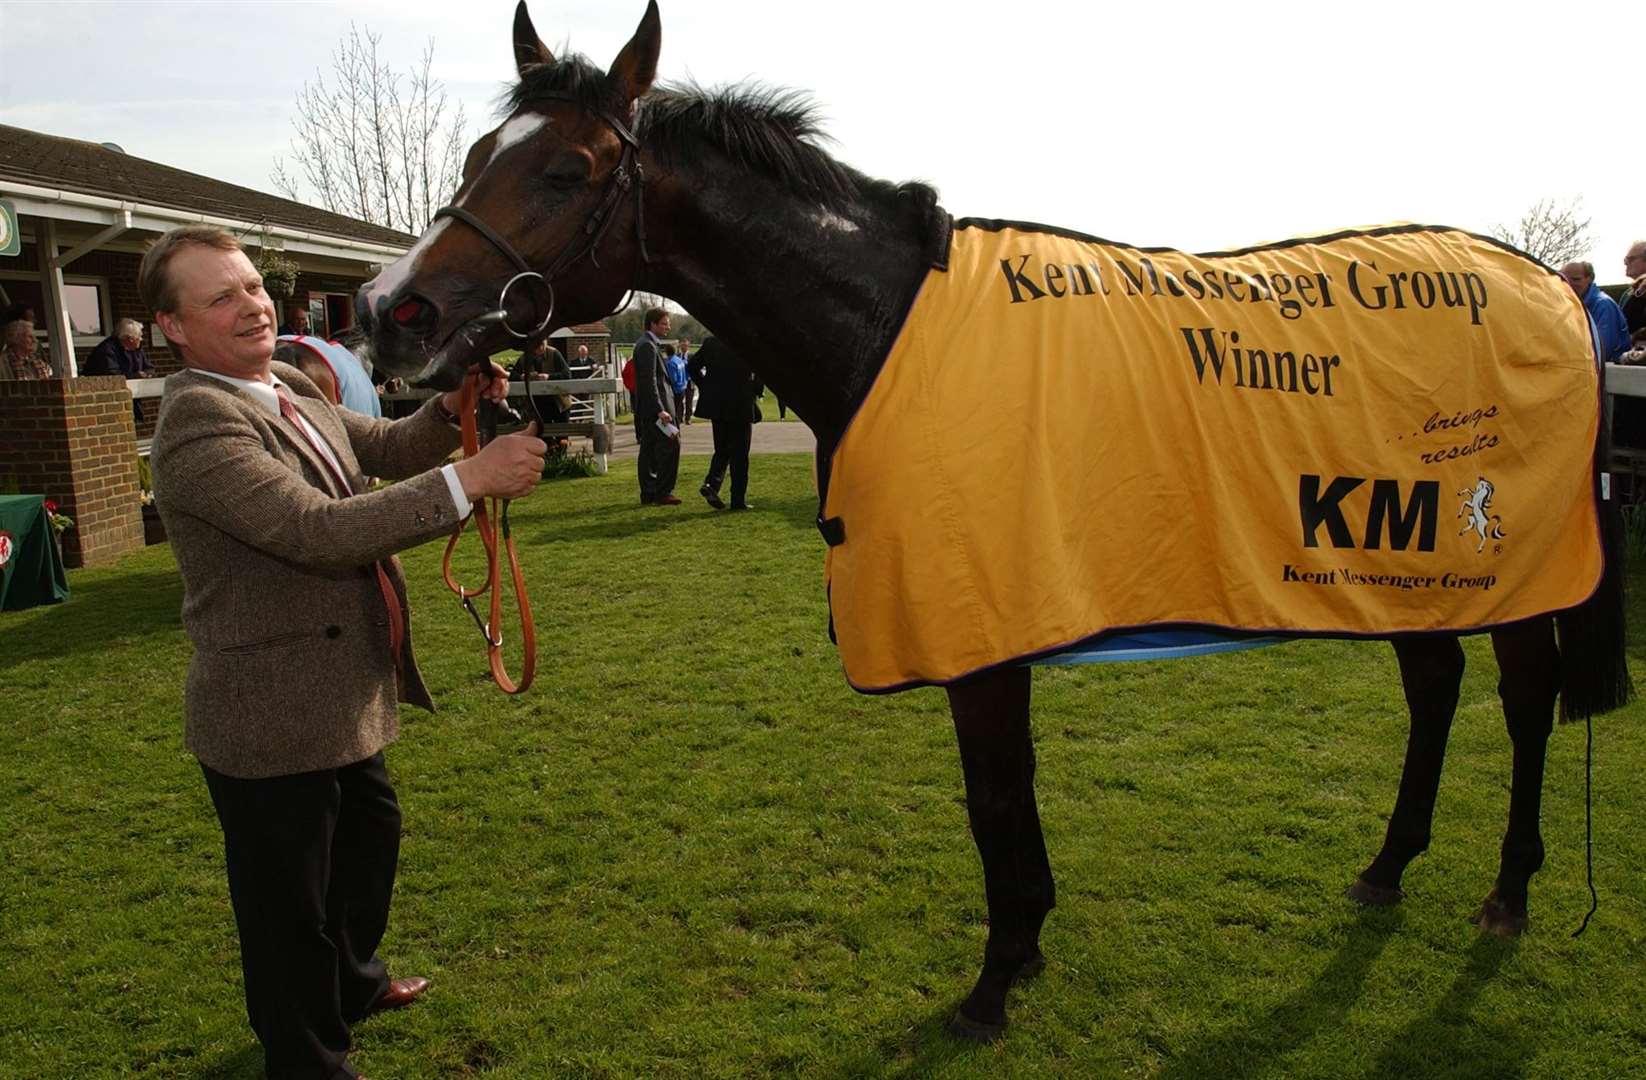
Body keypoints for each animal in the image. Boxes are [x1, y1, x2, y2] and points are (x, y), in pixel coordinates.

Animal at [353, 4, 1626, 1040]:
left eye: (565, 170)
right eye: (479, 157)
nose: (389, 312)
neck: (884, 326)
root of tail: (1545, 290)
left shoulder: (979, 630)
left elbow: (993, 796)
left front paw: (996, 977)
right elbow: (1004, 797)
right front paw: (1023, 952)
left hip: (1503, 573)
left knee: (1521, 702)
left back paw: (1506, 891)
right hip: (1395, 567)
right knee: (1433, 689)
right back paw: (1386, 865)